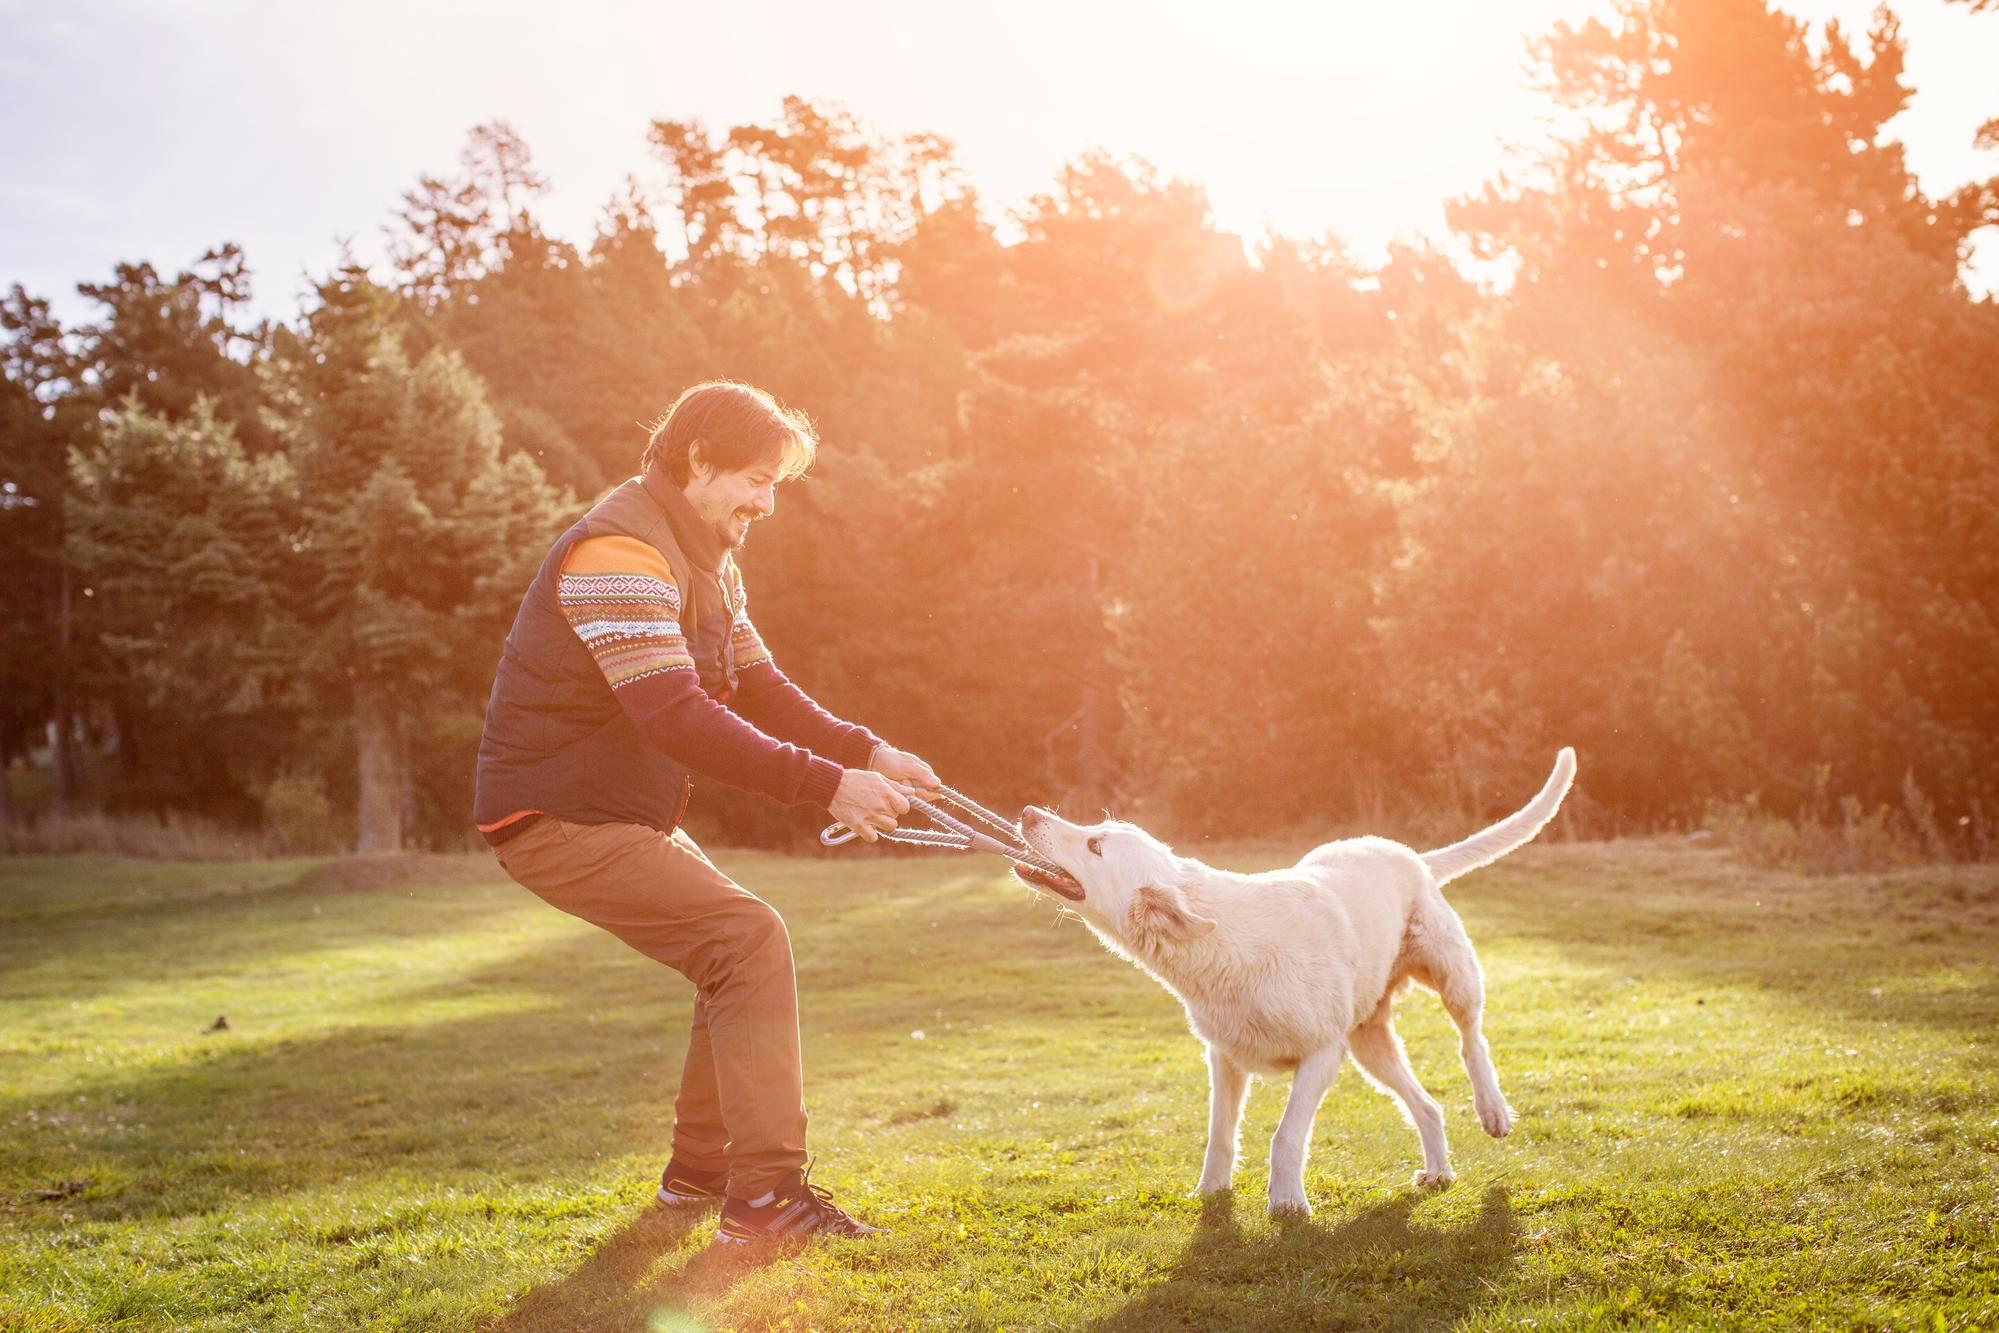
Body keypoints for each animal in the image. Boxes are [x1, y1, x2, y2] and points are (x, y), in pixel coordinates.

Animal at [1015, 751, 1575, 1223]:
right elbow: (1220, 1134)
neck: (1222, 943)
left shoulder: (1321, 1056)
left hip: (1452, 974)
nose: (1026, 812)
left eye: (1095, 844)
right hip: (1369, 1045)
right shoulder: (1225, 1059)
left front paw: (1286, 1204)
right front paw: (1210, 1193)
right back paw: (1438, 1171)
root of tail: (1409, 854)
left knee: (1471, 1040)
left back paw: (1493, 1110)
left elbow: (1285, 1136)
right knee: (1427, 1105)